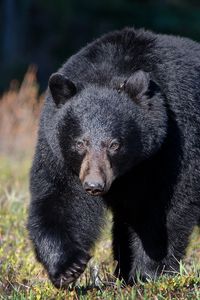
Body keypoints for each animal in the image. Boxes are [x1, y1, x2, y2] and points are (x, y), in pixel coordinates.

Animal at [27, 28, 200, 288]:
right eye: (80, 142)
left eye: (114, 144)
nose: (94, 185)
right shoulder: (58, 150)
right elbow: (60, 197)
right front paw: (68, 267)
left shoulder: (174, 142)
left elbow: (168, 207)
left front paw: (148, 273)